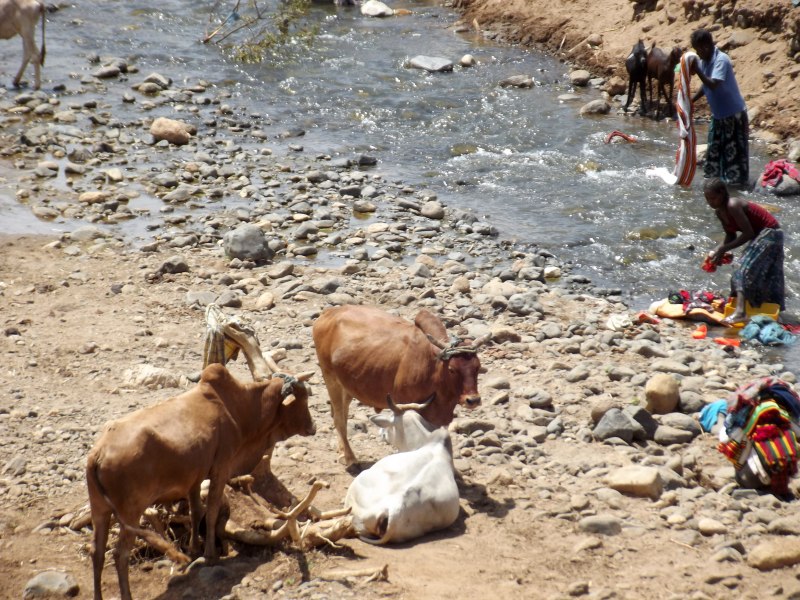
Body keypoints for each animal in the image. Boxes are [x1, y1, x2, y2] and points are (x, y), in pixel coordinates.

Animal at [84, 364, 314, 600]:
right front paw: (210, 554)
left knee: (97, 551)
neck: (238, 407)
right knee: (120, 554)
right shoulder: (221, 468)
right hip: (131, 512)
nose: (312, 427)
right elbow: (211, 511)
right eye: (304, 398)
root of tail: (98, 454)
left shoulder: (194, 479)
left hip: (100, 510)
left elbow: (195, 512)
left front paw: (194, 550)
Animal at [310, 304, 488, 468]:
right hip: (330, 378)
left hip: (347, 385)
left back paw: (343, 452)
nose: (473, 400)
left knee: (342, 414)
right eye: (452, 369)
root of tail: (328, 314)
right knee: (339, 418)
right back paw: (350, 458)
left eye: (478, 367)